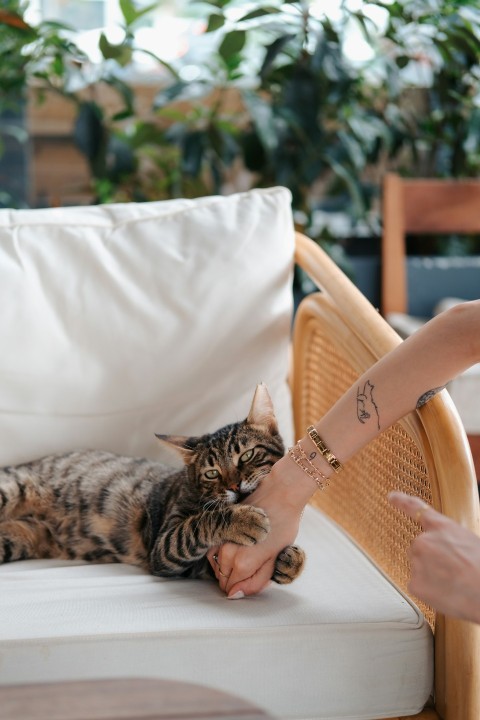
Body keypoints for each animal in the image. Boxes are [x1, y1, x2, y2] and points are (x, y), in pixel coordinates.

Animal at [0, 382, 306, 584]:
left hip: (19, 538)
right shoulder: (164, 546)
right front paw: (243, 520)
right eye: (211, 473)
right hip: (12, 489)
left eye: (247, 455)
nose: (234, 486)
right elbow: (199, 524)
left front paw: (290, 560)